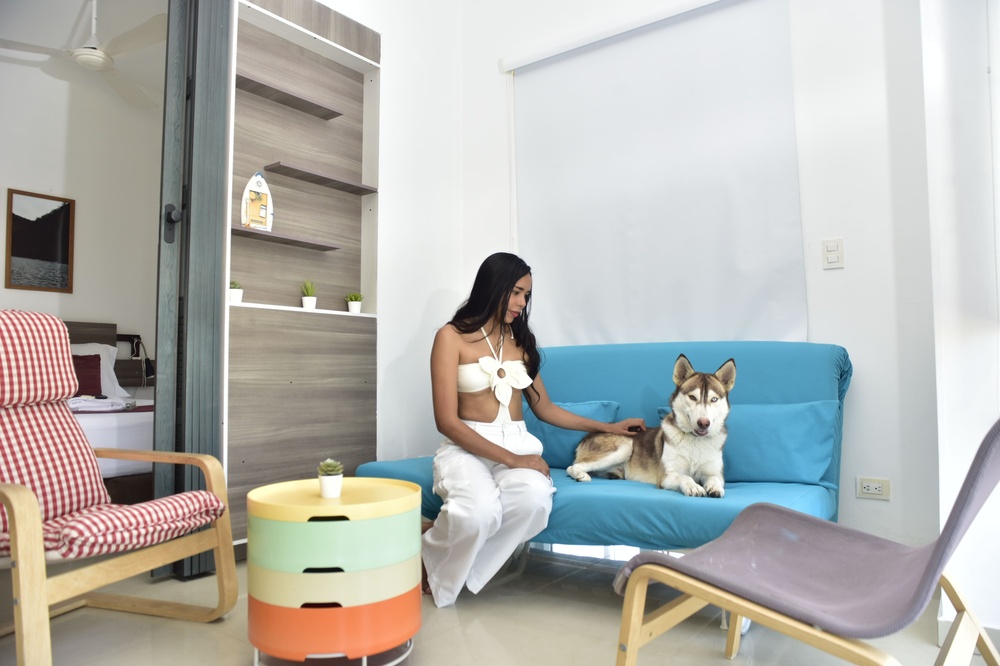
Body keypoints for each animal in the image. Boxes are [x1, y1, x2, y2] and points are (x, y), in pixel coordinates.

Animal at [568, 356, 740, 496]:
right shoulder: (666, 476)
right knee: (572, 467)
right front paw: (694, 486)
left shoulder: (714, 473)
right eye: (692, 397)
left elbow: (715, 480)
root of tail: (589, 434)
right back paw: (581, 475)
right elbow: (684, 476)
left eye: (714, 399)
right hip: (625, 447)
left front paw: (715, 488)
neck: (695, 441)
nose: (703, 423)